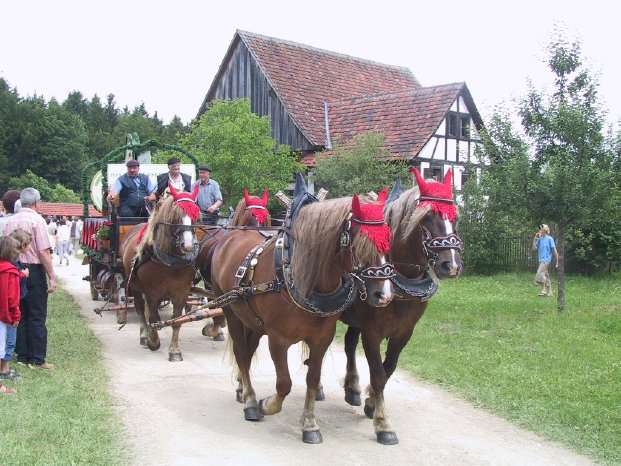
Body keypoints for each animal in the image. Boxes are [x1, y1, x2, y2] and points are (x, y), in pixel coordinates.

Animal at [120, 184, 200, 362]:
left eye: (195, 217)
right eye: (174, 216)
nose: (188, 245)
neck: (172, 264)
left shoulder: (182, 293)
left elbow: (176, 321)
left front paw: (175, 350)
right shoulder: (152, 292)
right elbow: (153, 318)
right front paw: (153, 341)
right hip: (134, 287)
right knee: (141, 309)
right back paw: (144, 335)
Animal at [206, 179, 394, 444]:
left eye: (388, 240)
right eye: (361, 243)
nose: (384, 294)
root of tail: (230, 236)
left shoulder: (322, 339)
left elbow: (312, 380)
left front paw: (309, 424)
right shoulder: (277, 339)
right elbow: (284, 383)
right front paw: (267, 405)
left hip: (253, 322)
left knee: (249, 351)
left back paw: (243, 389)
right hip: (230, 312)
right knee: (242, 354)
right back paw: (251, 401)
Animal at [336, 167, 462, 444]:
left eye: (455, 218)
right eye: (427, 218)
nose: (451, 265)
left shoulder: (405, 332)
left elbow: (389, 369)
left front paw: (371, 403)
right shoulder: (372, 332)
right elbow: (378, 373)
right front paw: (383, 424)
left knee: (349, 344)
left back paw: (353, 388)